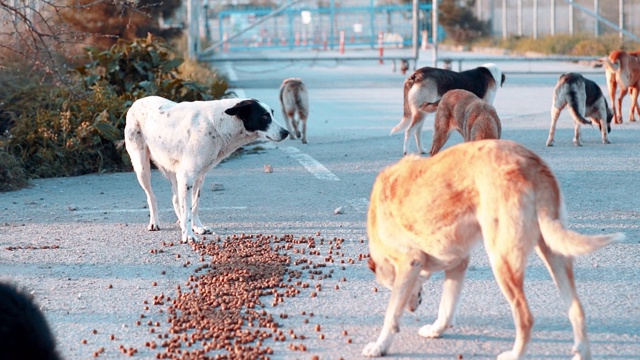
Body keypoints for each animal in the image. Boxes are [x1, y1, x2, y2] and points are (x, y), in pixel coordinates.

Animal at [125, 95, 290, 242]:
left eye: (272, 114)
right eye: (264, 117)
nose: (286, 132)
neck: (218, 124)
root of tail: (137, 102)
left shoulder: (199, 176)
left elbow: (194, 205)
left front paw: (196, 227)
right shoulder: (187, 176)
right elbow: (188, 209)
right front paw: (188, 235)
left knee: (176, 199)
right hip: (142, 168)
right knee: (151, 196)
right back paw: (155, 222)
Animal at [362, 139, 624, 358]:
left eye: (389, 286)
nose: (413, 308)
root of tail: (531, 164)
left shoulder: (409, 265)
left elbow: (391, 315)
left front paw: (379, 346)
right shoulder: (458, 264)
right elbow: (447, 307)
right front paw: (436, 330)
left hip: (502, 261)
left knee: (525, 317)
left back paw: (514, 354)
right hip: (554, 254)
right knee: (577, 309)